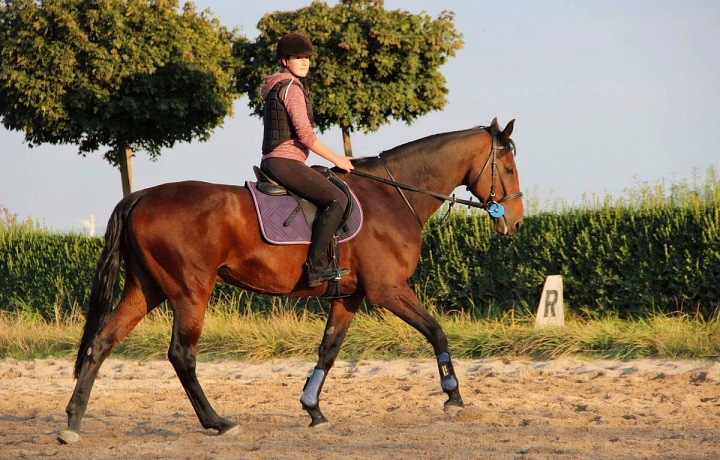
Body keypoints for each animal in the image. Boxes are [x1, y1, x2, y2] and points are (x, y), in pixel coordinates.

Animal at [58, 118, 523, 444]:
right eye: (508, 166)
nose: (516, 223)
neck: (393, 196)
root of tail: (139, 196)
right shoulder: (388, 290)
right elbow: (436, 332)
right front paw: (453, 397)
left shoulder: (349, 297)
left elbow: (329, 351)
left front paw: (313, 410)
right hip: (191, 292)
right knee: (181, 356)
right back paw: (218, 423)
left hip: (146, 290)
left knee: (101, 343)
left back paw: (73, 422)